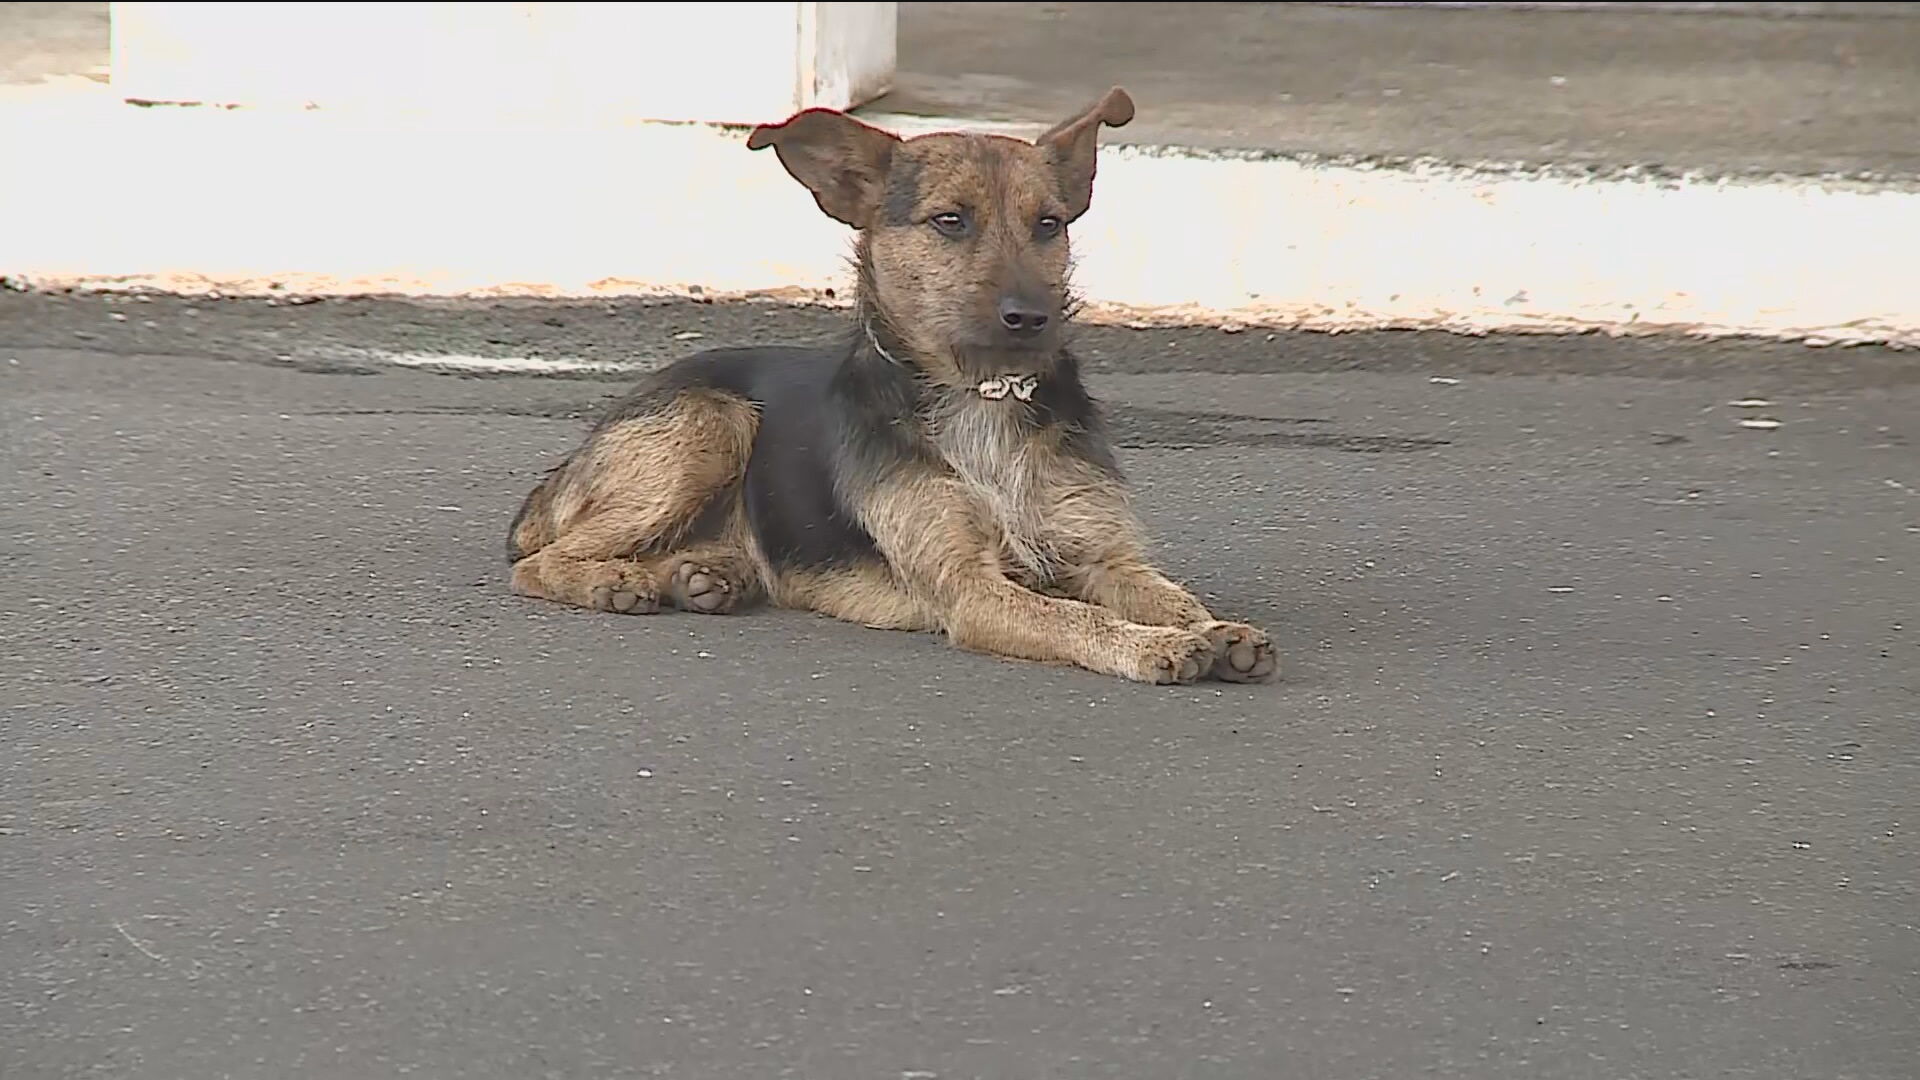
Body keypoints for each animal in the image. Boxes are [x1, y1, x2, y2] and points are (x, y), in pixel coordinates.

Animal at [510, 92, 1282, 680]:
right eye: (950, 220)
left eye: (1049, 224)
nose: (1032, 319)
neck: (982, 399)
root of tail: (565, 467)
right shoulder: (972, 589)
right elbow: (1076, 618)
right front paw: (1159, 647)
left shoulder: (1101, 553)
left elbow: (1168, 593)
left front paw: (1214, 627)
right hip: (713, 421)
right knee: (540, 561)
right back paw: (616, 580)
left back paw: (704, 576)